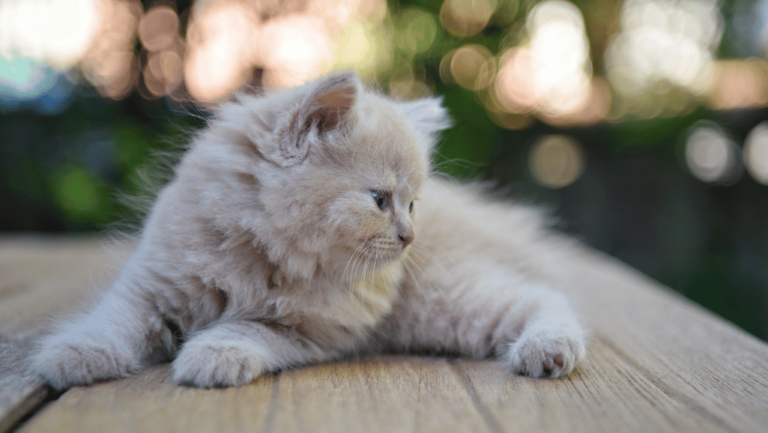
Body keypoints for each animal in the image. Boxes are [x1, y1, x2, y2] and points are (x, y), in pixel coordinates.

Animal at [28, 71, 584, 388]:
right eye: (380, 200)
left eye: (412, 204)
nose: (409, 236)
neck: (264, 255)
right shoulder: (151, 287)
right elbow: (113, 321)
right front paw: (74, 355)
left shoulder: (305, 332)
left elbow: (244, 328)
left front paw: (212, 358)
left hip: (445, 301)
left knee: (545, 298)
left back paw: (549, 352)